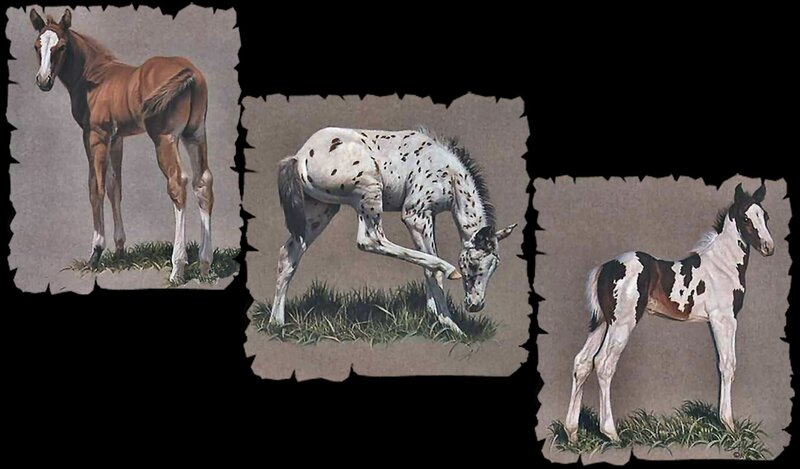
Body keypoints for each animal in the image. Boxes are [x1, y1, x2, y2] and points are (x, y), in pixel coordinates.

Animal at [29, 8, 214, 283]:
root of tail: (189, 71)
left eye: (61, 47)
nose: (43, 81)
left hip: (165, 139)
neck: (94, 76)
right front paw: (119, 251)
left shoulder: (95, 136)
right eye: (37, 46)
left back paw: (177, 268)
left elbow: (95, 187)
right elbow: (115, 187)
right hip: (195, 135)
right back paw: (204, 265)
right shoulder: (117, 139)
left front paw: (96, 252)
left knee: (178, 183)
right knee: (203, 183)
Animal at [272, 127, 517, 335]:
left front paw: (436, 316)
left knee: (289, 253)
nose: (475, 305)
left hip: (321, 210)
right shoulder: (415, 215)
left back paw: (277, 323)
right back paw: (448, 270)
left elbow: (427, 266)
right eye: (474, 264)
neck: (448, 174)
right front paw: (450, 325)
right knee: (370, 240)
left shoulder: (429, 217)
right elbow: (432, 268)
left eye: (494, 267)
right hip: (369, 191)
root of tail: (300, 157)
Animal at [564, 183, 774, 443]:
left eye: (765, 216)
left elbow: (720, 364)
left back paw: (572, 434)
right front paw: (729, 425)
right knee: (603, 364)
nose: (768, 247)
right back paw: (611, 433)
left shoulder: (712, 321)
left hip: (602, 322)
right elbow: (728, 365)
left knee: (582, 363)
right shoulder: (724, 319)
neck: (721, 266)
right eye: (746, 218)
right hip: (622, 323)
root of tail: (605, 268)